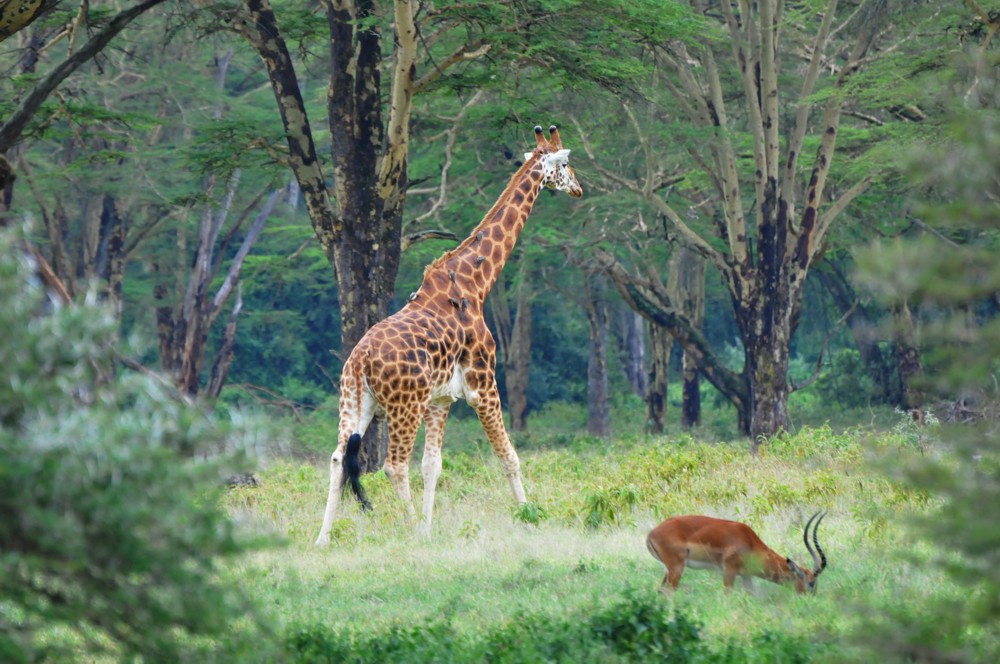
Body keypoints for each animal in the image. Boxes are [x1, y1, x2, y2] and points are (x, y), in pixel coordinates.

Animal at [312, 126, 580, 544]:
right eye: (565, 164)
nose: (579, 190)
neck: (476, 283)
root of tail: (360, 360)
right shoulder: (483, 384)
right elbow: (508, 456)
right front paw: (529, 514)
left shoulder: (441, 399)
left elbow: (433, 465)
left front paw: (428, 526)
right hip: (404, 405)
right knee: (393, 465)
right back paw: (409, 531)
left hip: (356, 401)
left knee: (340, 458)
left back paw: (323, 538)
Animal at [648, 510, 828, 592]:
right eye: (811, 583)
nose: (810, 600)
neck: (749, 541)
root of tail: (652, 533)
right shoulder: (729, 572)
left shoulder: (746, 576)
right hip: (677, 569)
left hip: (668, 570)